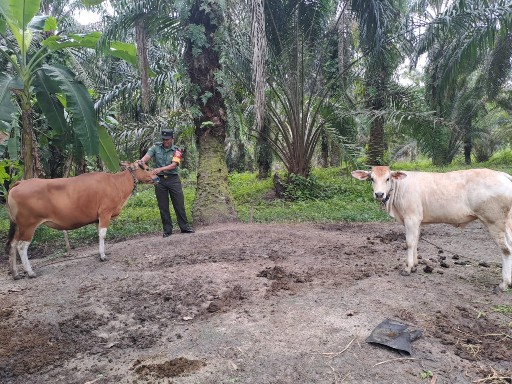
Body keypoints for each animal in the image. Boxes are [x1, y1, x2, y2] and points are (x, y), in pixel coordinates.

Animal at [5, 161, 157, 280]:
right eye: (147, 168)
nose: (156, 177)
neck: (116, 183)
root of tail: (19, 183)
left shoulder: (97, 218)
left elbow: (98, 235)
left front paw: (101, 252)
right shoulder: (105, 213)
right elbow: (103, 234)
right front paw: (103, 256)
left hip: (18, 226)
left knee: (12, 244)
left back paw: (15, 273)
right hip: (28, 225)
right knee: (21, 246)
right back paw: (30, 272)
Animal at [354, 166, 512, 292]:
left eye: (388, 178)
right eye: (371, 179)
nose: (379, 194)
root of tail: (502, 174)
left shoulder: (411, 218)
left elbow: (409, 243)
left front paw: (407, 268)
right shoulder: (417, 220)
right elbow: (416, 241)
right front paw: (414, 265)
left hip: (494, 222)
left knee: (506, 250)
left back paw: (504, 283)